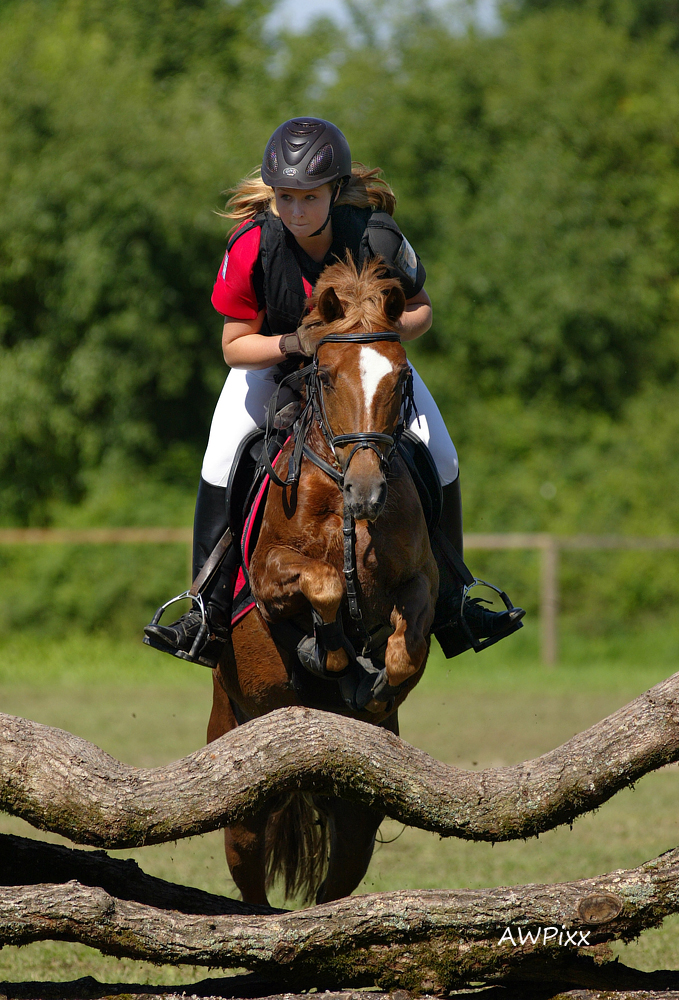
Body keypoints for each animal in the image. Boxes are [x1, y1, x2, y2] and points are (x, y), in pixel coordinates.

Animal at [207, 256, 438, 908]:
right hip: (240, 779)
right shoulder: (266, 578)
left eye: (400, 378)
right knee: (249, 872)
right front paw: (327, 652)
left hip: (357, 816)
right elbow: (326, 586)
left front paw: (375, 685)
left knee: (336, 892)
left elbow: (406, 649)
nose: (367, 492)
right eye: (328, 378)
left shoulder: (424, 578)